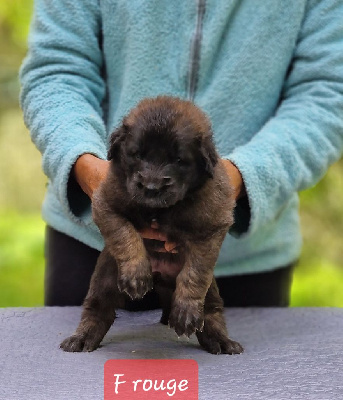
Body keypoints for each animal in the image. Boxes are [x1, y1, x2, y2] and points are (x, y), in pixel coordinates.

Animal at [61, 97, 245, 356]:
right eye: (137, 154)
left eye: (178, 160)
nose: (151, 187)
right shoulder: (107, 203)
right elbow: (125, 235)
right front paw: (136, 274)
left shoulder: (212, 224)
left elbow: (195, 272)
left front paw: (186, 311)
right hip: (106, 276)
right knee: (98, 309)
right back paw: (82, 337)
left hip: (210, 292)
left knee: (211, 311)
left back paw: (220, 340)